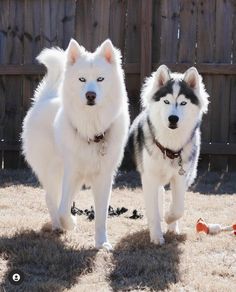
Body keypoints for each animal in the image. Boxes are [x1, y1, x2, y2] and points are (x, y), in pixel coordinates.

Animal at [21, 38, 129, 249]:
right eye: (82, 79)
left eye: (100, 79)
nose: (90, 95)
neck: (92, 128)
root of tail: (45, 99)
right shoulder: (72, 172)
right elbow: (63, 209)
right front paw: (70, 223)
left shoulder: (103, 177)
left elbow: (101, 216)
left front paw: (102, 243)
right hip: (53, 171)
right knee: (52, 199)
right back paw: (58, 225)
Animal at [126, 65, 209, 245]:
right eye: (166, 101)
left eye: (183, 103)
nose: (173, 118)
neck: (169, 148)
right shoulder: (149, 177)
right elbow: (153, 210)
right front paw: (157, 236)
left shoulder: (180, 177)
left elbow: (178, 207)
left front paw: (170, 219)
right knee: (159, 194)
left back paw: (172, 227)